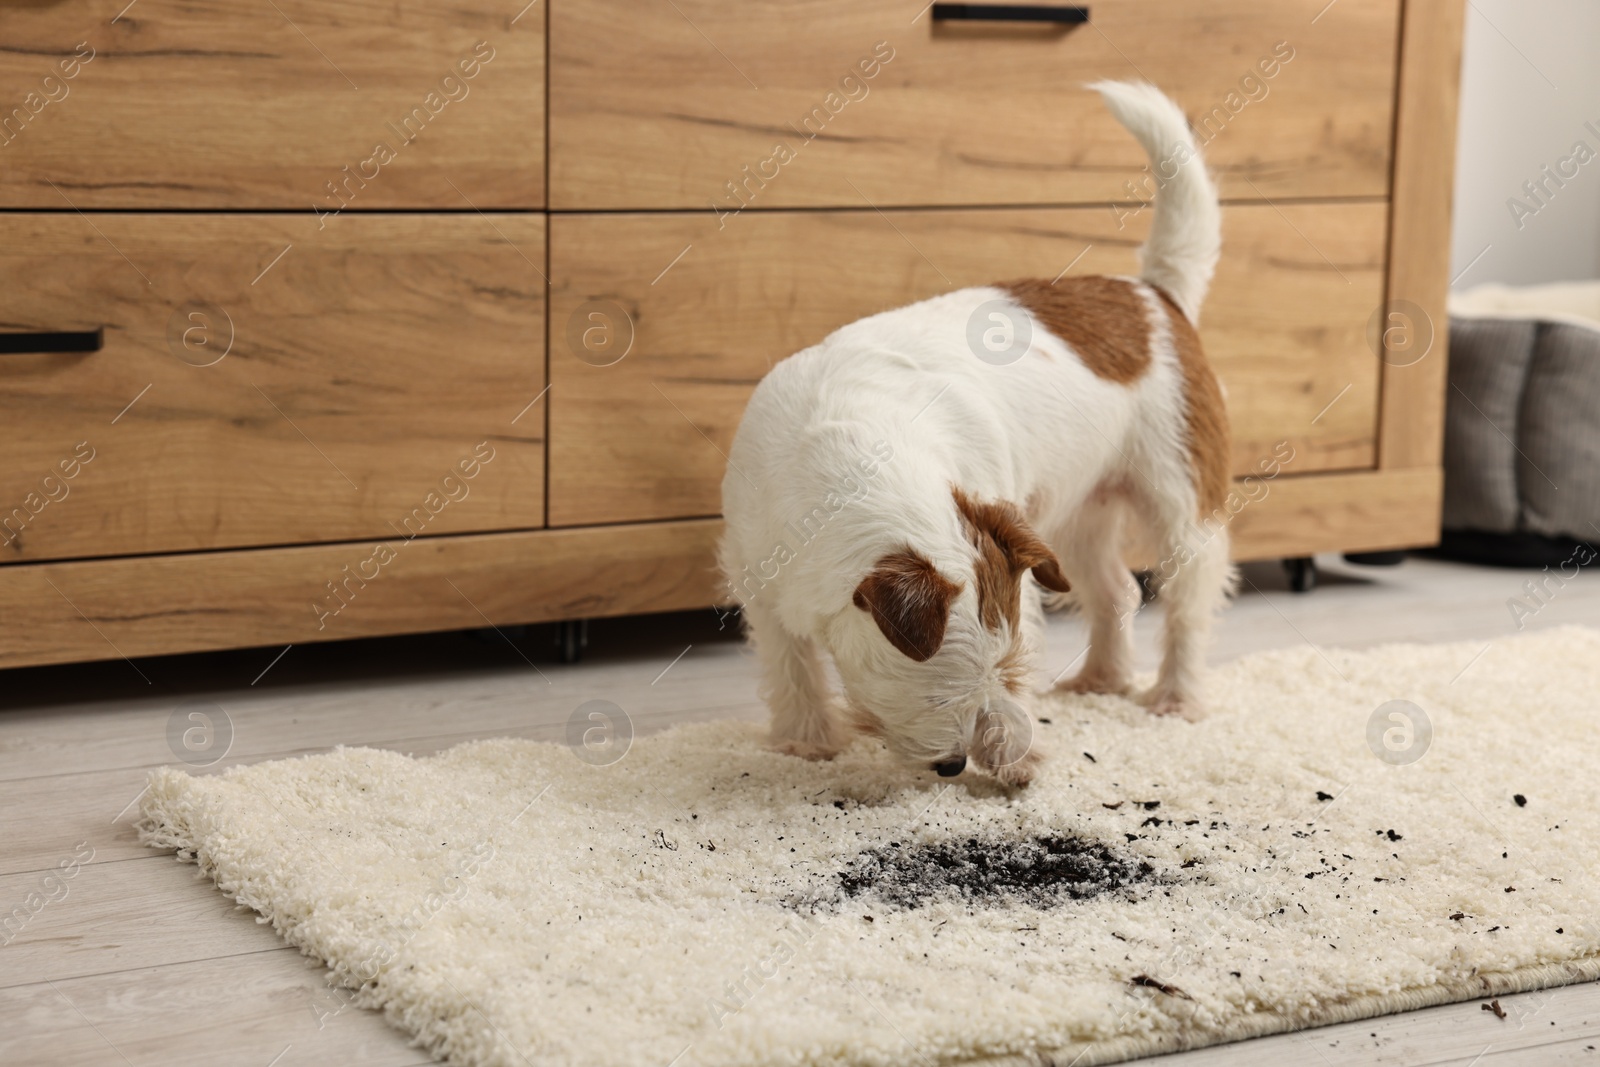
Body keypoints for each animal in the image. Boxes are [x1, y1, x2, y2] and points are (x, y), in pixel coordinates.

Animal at [720, 81, 1228, 783]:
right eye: (939, 696)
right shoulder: (760, 584)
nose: (958, 764)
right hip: (1078, 515)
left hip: (1178, 498)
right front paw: (808, 742)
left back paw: (1177, 695)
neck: (852, 459)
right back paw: (1101, 678)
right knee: (1117, 590)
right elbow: (791, 667)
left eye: (1007, 669)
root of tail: (1151, 293)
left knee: (1187, 598)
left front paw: (1020, 751)